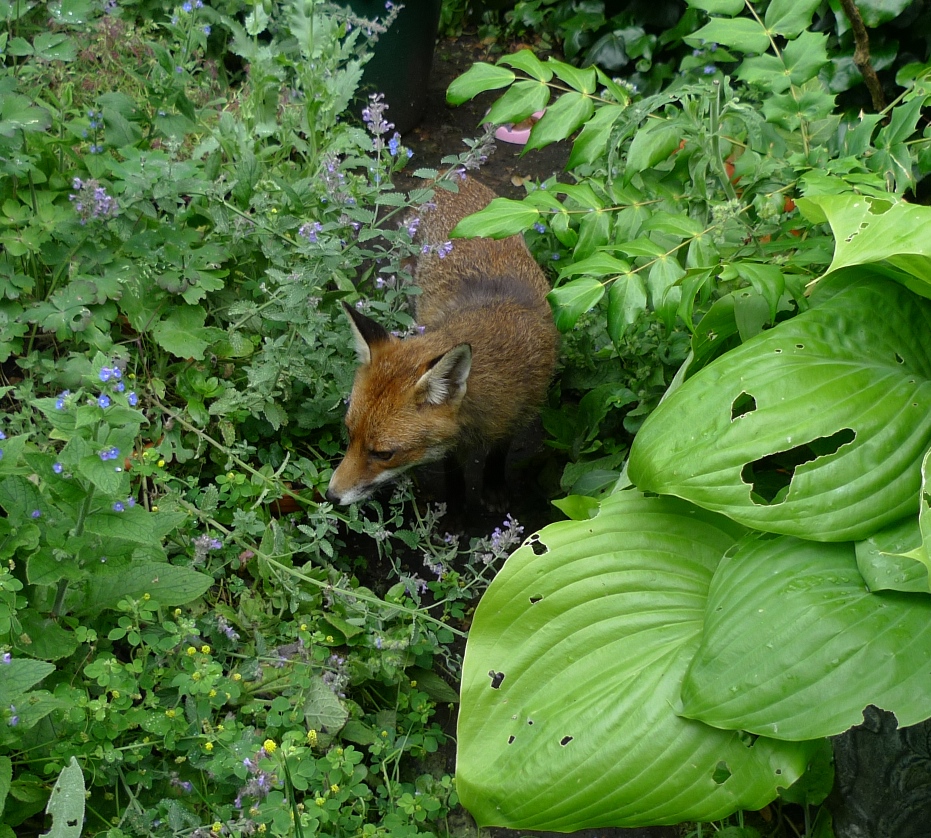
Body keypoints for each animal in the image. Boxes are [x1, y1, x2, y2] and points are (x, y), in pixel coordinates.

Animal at [325, 174, 559, 506]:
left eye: (383, 454)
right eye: (348, 434)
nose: (330, 496)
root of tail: (446, 176)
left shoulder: (518, 413)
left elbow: (499, 451)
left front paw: (494, 484)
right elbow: (451, 463)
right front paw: (456, 495)